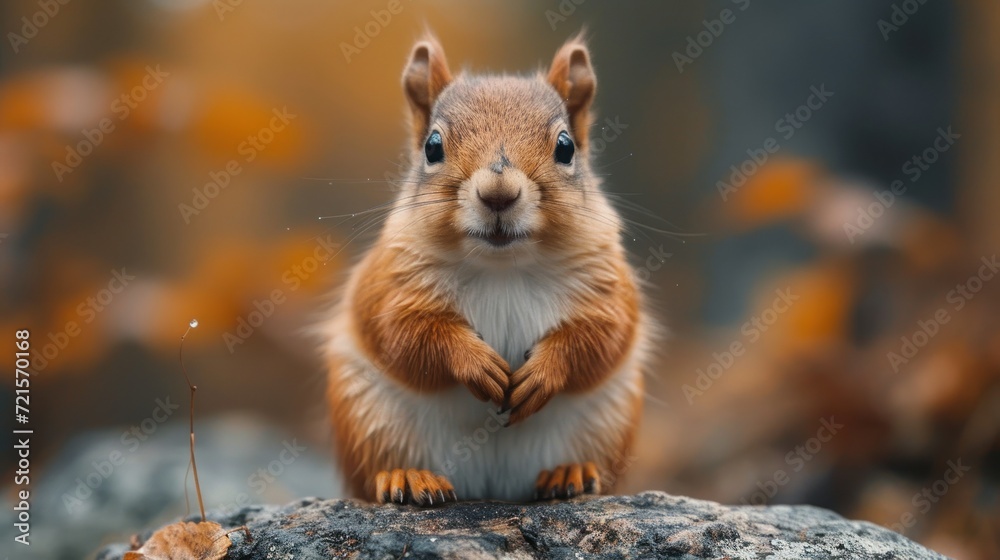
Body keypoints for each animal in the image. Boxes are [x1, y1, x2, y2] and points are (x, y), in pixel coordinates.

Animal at [320, 34, 652, 508]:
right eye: (433, 147)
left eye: (566, 147)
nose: (499, 193)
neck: (502, 268)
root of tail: (494, 491)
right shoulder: (389, 283)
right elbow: (403, 332)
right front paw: (474, 362)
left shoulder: (606, 284)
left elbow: (602, 335)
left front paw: (544, 373)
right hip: (368, 418)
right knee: (373, 476)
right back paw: (409, 477)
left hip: (609, 423)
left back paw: (570, 474)